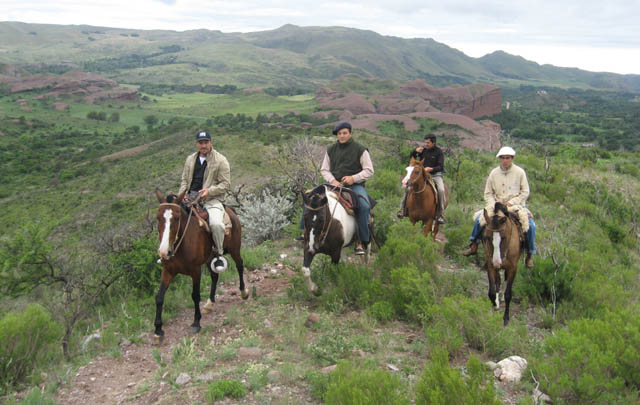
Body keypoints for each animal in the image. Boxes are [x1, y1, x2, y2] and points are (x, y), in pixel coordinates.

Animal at [152, 189, 248, 340]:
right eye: (158, 217)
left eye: (177, 218)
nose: (164, 251)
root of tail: (230, 210)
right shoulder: (168, 271)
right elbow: (159, 297)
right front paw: (158, 329)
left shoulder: (195, 271)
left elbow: (195, 295)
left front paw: (196, 322)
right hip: (210, 258)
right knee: (215, 276)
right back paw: (209, 303)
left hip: (234, 249)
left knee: (240, 265)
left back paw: (243, 292)